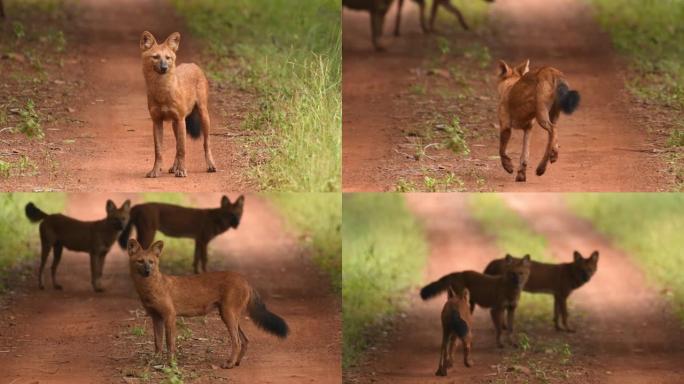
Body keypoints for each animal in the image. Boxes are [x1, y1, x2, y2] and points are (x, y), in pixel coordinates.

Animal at [127, 238, 288, 368]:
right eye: (140, 261)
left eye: (151, 262)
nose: (148, 271)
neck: (150, 289)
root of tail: (245, 280)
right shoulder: (156, 317)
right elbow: (157, 343)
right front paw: (155, 361)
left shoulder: (170, 316)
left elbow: (169, 343)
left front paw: (171, 364)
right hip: (228, 315)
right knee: (245, 340)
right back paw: (236, 362)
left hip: (228, 314)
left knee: (236, 341)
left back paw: (229, 364)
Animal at [138, 31, 215, 178]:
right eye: (155, 57)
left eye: (168, 58)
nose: (164, 68)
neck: (162, 91)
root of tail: (193, 64)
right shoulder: (157, 121)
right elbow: (159, 150)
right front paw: (155, 171)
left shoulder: (180, 119)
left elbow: (182, 149)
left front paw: (182, 170)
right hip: (175, 124)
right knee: (176, 145)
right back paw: (174, 167)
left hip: (202, 115)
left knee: (206, 143)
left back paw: (210, 165)